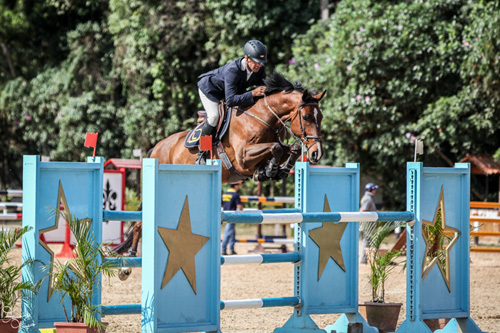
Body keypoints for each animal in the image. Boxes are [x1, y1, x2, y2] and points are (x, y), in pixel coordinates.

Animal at [115, 73, 326, 274]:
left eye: (321, 117)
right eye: (306, 117)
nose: (316, 153)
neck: (262, 117)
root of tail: (157, 147)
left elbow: (289, 149)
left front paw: (274, 171)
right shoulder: (242, 158)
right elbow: (275, 148)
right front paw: (268, 170)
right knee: (139, 224)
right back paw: (128, 264)